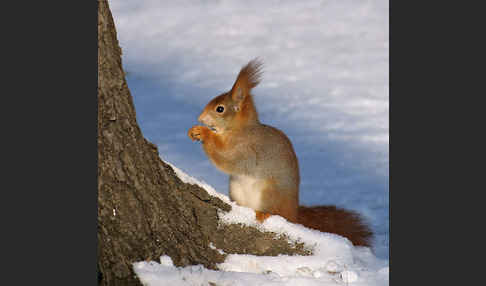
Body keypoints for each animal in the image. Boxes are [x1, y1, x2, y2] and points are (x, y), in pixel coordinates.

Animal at [189, 58, 372, 246]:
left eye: (220, 109)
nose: (200, 118)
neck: (240, 130)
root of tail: (294, 214)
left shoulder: (248, 151)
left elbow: (227, 160)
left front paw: (204, 133)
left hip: (270, 192)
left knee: (276, 212)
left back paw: (264, 213)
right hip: (236, 189)